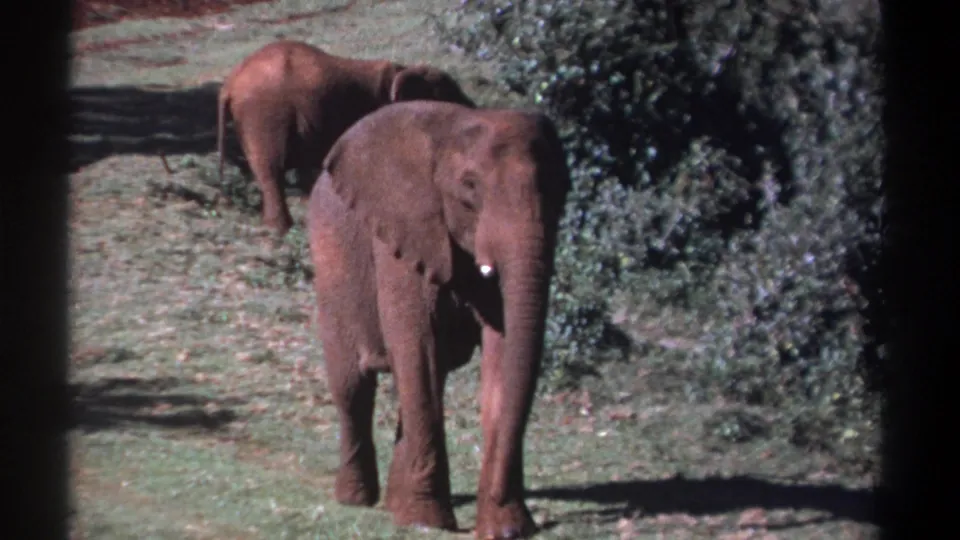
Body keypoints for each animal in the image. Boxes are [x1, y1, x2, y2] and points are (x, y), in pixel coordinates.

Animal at [216, 39, 476, 235]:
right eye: (449, 95)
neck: (400, 70)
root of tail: (230, 83)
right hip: (264, 114)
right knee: (271, 170)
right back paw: (281, 230)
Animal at [306, 100, 572, 539]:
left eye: (561, 190)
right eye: (470, 187)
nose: (500, 510)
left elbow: (501, 352)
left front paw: (506, 526)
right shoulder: (404, 235)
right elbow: (419, 345)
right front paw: (426, 522)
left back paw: (393, 504)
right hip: (330, 261)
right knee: (354, 385)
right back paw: (357, 499)